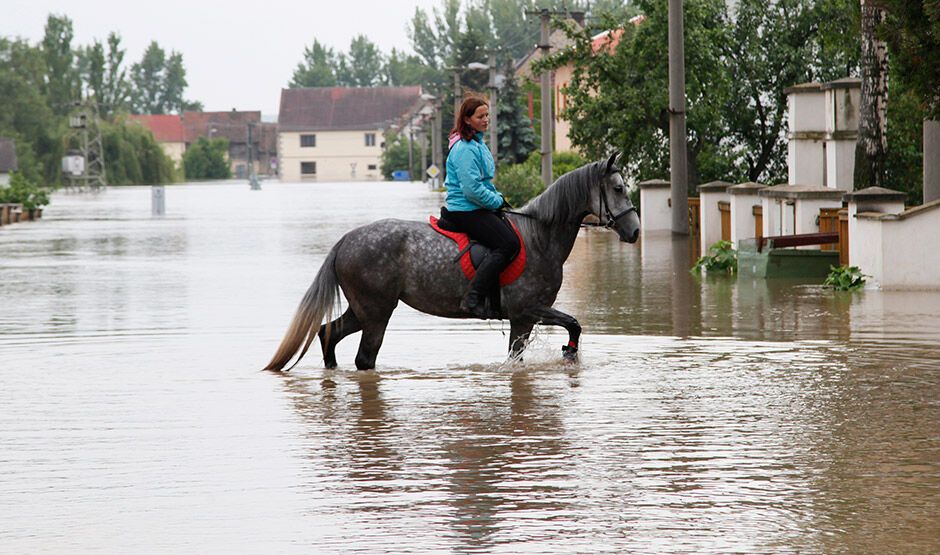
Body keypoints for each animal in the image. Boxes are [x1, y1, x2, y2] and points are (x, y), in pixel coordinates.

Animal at [268, 152, 644, 372]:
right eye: (617, 188)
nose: (635, 231)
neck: (540, 237)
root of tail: (347, 239)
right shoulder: (528, 309)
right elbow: (574, 324)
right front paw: (569, 353)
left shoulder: (522, 319)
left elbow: (518, 356)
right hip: (376, 312)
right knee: (363, 358)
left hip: (363, 309)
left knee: (327, 334)